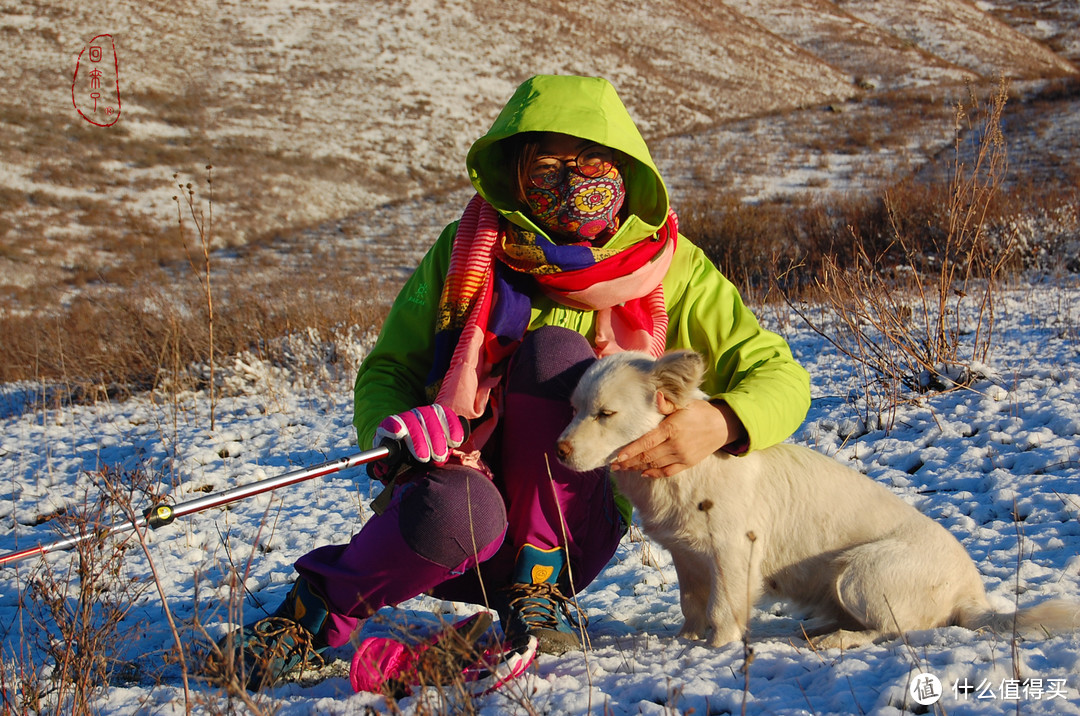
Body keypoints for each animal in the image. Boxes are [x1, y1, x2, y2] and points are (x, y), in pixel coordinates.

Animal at [557, 352, 1080, 647]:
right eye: (575, 408)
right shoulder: (688, 557)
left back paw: (837, 640)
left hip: (858, 573)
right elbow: (691, 605)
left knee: (892, 630)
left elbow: (723, 612)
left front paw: (714, 649)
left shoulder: (732, 552)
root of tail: (972, 596)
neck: (684, 470)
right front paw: (684, 642)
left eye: (605, 414)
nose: (558, 451)